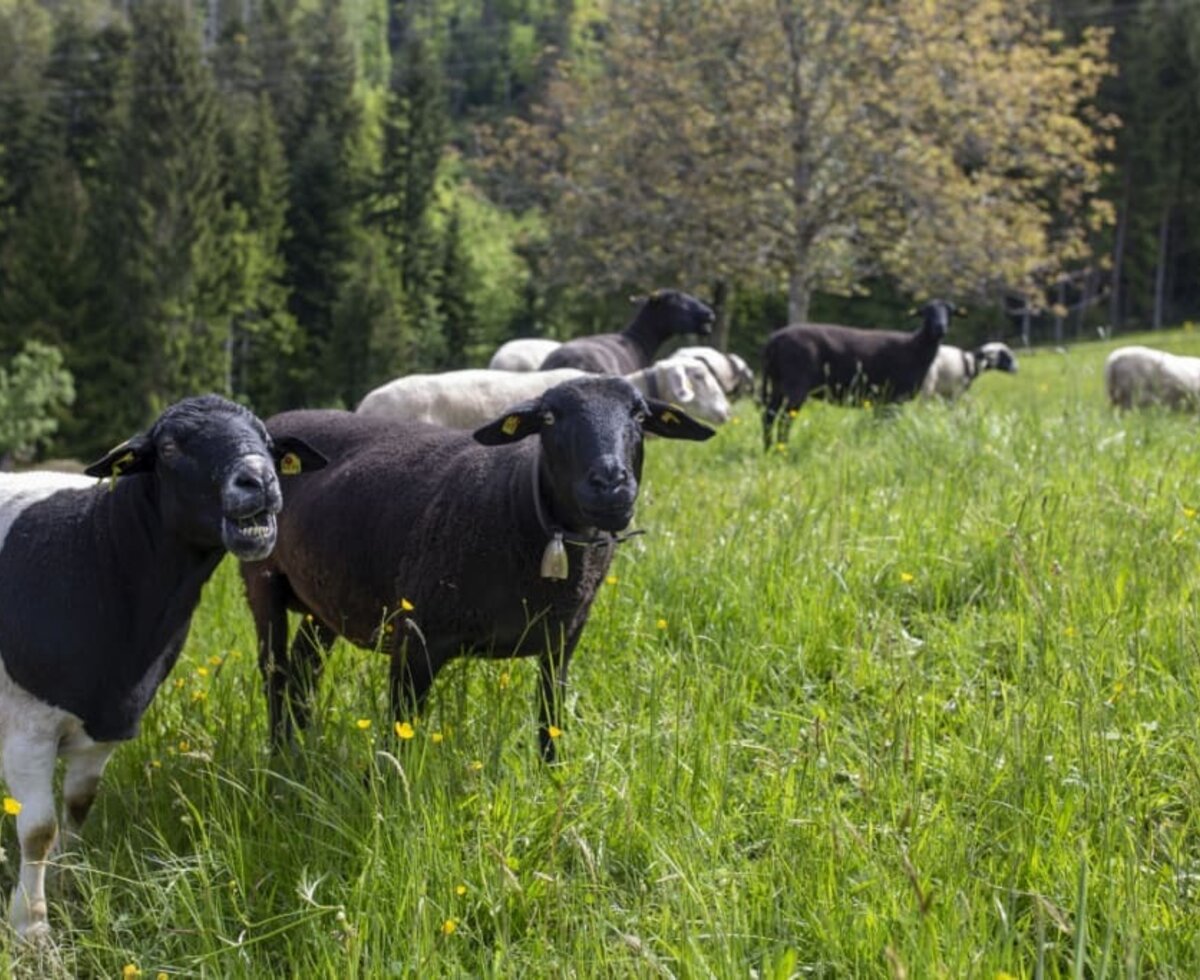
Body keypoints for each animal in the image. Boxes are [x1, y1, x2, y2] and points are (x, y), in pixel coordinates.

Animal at [0, 393, 324, 935]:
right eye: (170, 447)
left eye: (268, 442)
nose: (259, 480)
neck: (98, 554)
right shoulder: (28, 726)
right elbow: (39, 830)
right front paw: (31, 928)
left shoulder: (106, 724)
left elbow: (77, 808)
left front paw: (66, 888)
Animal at [238, 374, 715, 762]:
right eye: (549, 417)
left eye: (640, 414)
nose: (611, 484)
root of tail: (278, 422)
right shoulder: (417, 639)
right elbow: (398, 738)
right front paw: (390, 799)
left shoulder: (562, 641)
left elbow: (550, 724)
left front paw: (553, 785)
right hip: (262, 577)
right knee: (275, 671)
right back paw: (280, 758)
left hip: (323, 598)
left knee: (305, 670)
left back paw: (303, 749)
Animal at [758, 299, 955, 448]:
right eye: (927, 312)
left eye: (949, 312)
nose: (940, 327)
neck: (915, 346)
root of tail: (773, 340)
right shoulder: (893, 397)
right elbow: (887, 425)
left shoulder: (883, 400)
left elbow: (879, 424)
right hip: (795, 385)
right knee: (785, 418)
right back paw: (782, 448)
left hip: (778, 383)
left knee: (769, 415)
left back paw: (769, 448)